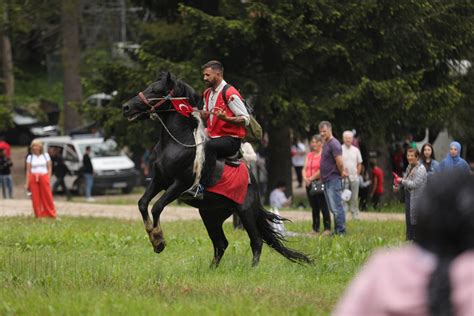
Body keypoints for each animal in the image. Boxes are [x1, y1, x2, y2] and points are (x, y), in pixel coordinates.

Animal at [121, 72, 312, 266]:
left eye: (156, 90)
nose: (126, 107)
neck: (177, 144)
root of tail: (253, 181)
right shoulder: (159, 180)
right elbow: (143, 203)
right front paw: (153, 237)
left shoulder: (180, 184)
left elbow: (157, 206)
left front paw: (158, 240)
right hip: (210, 214)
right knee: (221, 243)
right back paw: (212, 268)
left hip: (245, 211)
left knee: (256, 241)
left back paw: (252, 268)